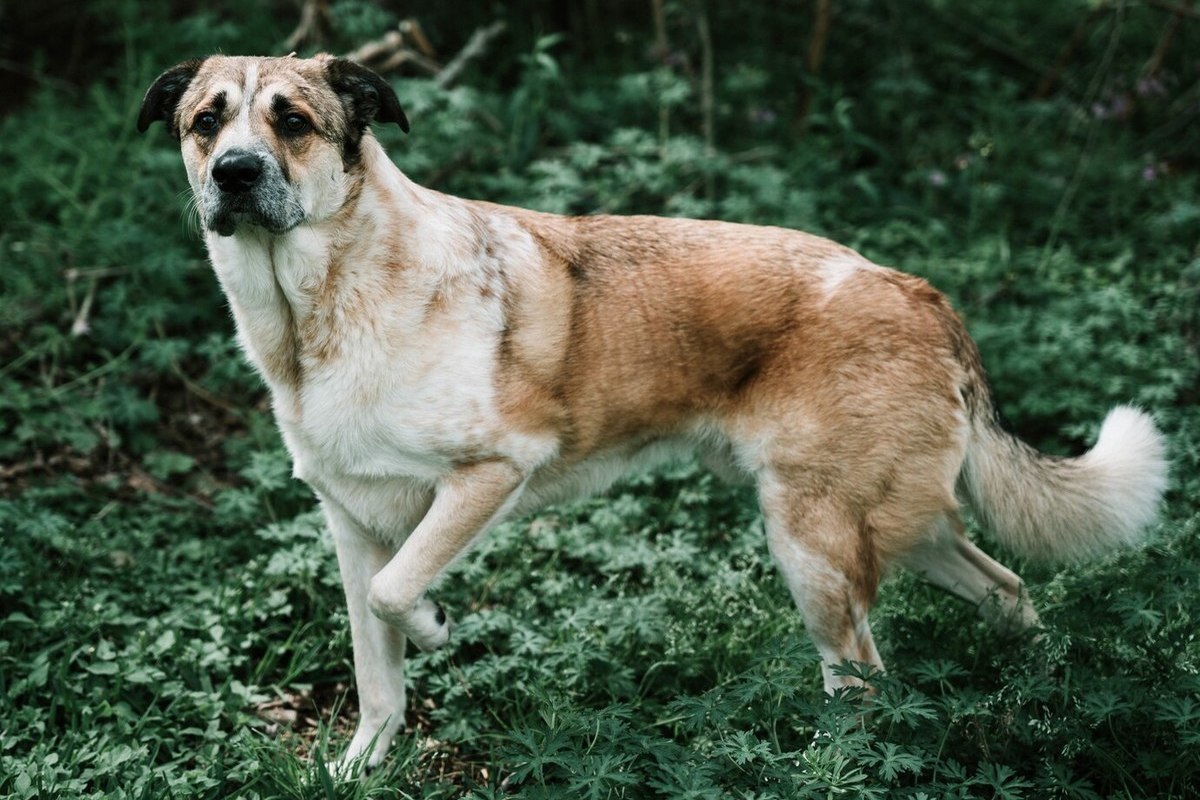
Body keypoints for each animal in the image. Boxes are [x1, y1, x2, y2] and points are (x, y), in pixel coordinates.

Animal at [136, 53, 1166, 767]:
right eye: (205, 122)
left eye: (293, 122)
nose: (233, 174)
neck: (323, 306)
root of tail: (917, 292)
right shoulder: (352, 525)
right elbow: (375, 666)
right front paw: (362, 767)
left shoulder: (488, 476)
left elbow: (400, 596)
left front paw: (436, 625)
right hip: (893, 526)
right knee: (1008, 589)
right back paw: (1045, 696)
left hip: (813, 545)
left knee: (867, 682)